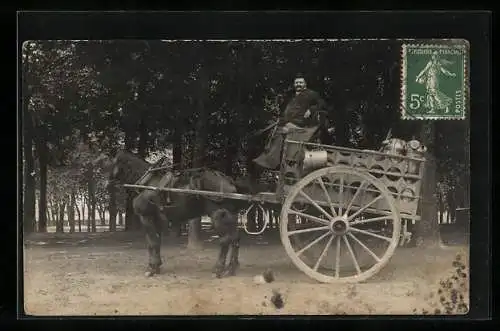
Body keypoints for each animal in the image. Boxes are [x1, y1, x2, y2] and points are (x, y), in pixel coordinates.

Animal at [106, 152, 243, 278]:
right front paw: (156, 265)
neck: (148, 183)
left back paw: (218, 269)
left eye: (112, 164)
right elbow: (156, 242)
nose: (107, 184)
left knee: (225, 240)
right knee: (235, 239)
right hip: (231, 216)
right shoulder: (156, 219)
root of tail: (229, 182)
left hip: (218, 215)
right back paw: (232, 268)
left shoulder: (146, 217)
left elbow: (152, 242)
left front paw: (151, 268)